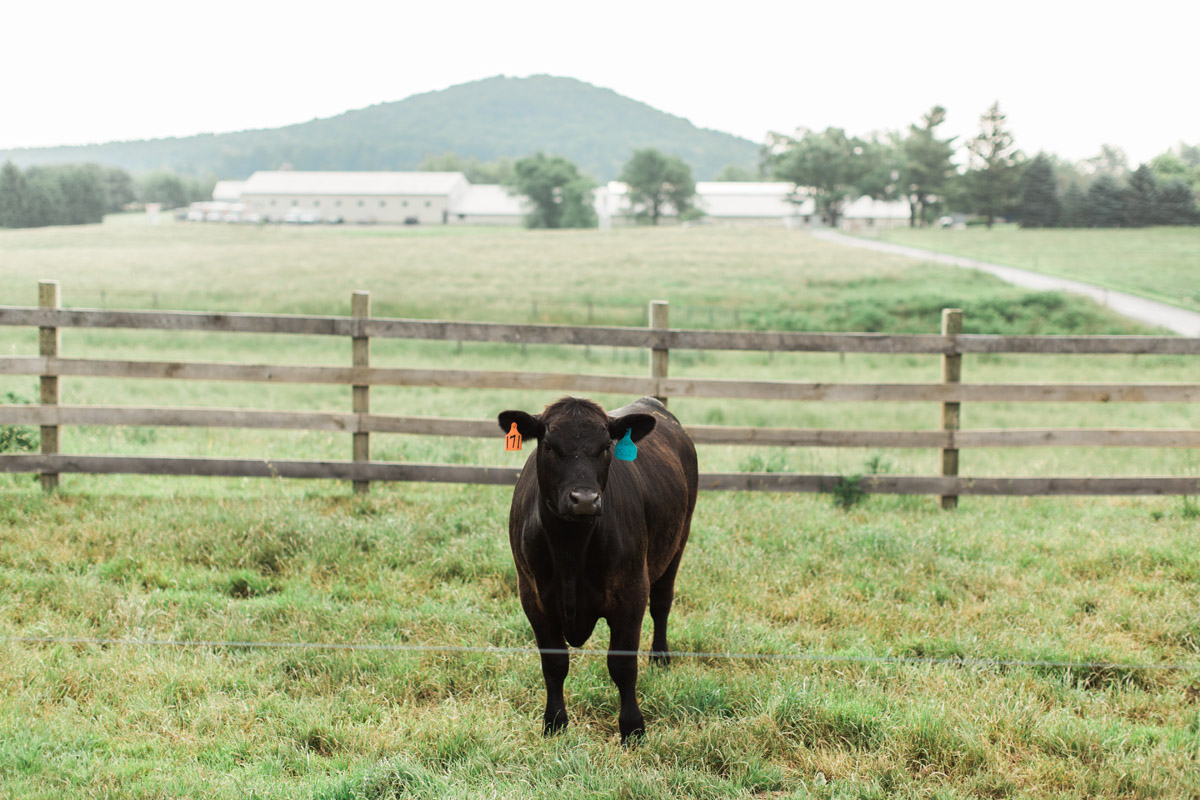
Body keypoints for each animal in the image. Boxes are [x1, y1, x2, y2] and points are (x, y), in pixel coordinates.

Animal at [496, 398, 700, 743]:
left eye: (606, 447)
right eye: (548, 446)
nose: (584, 500)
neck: (570, 551)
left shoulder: (631, 593)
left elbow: (622, 665)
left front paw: (632, 728)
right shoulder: (532, 596)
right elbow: (554, 663)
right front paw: (554, 723)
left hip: (677, 541)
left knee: (662, 604)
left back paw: (660, 658)